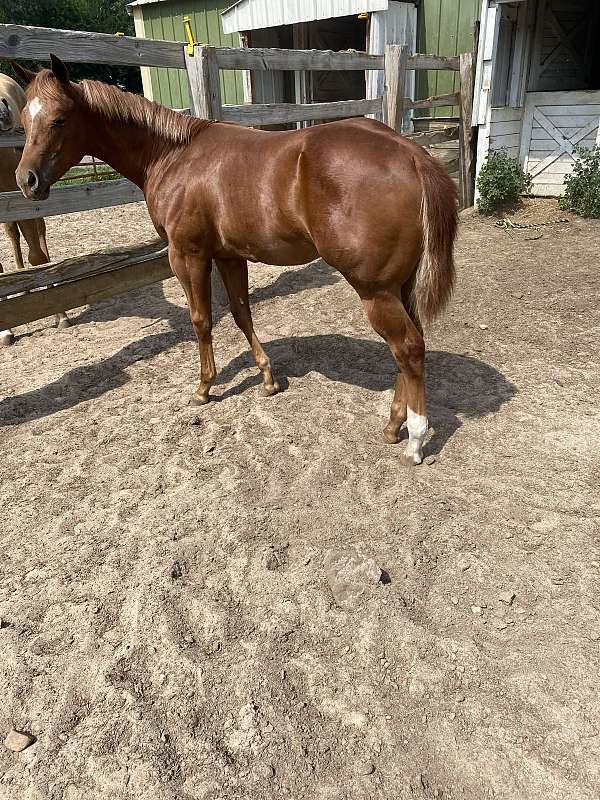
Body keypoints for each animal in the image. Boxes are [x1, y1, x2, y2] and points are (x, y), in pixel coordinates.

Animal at [14, 56, 458, 466]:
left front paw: (204, 387)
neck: (174, 156)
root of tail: (410, 153)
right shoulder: (229, 257)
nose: (26, 180)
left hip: (374, 290)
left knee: (408, 348)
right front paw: (267, 379)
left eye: (59, 119)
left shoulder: (187, 255)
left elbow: (202, 320)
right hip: (397, 287)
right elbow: (242, 312)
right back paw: (394, 425)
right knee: (408, 348)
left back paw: (416, 439)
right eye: (23, 120)